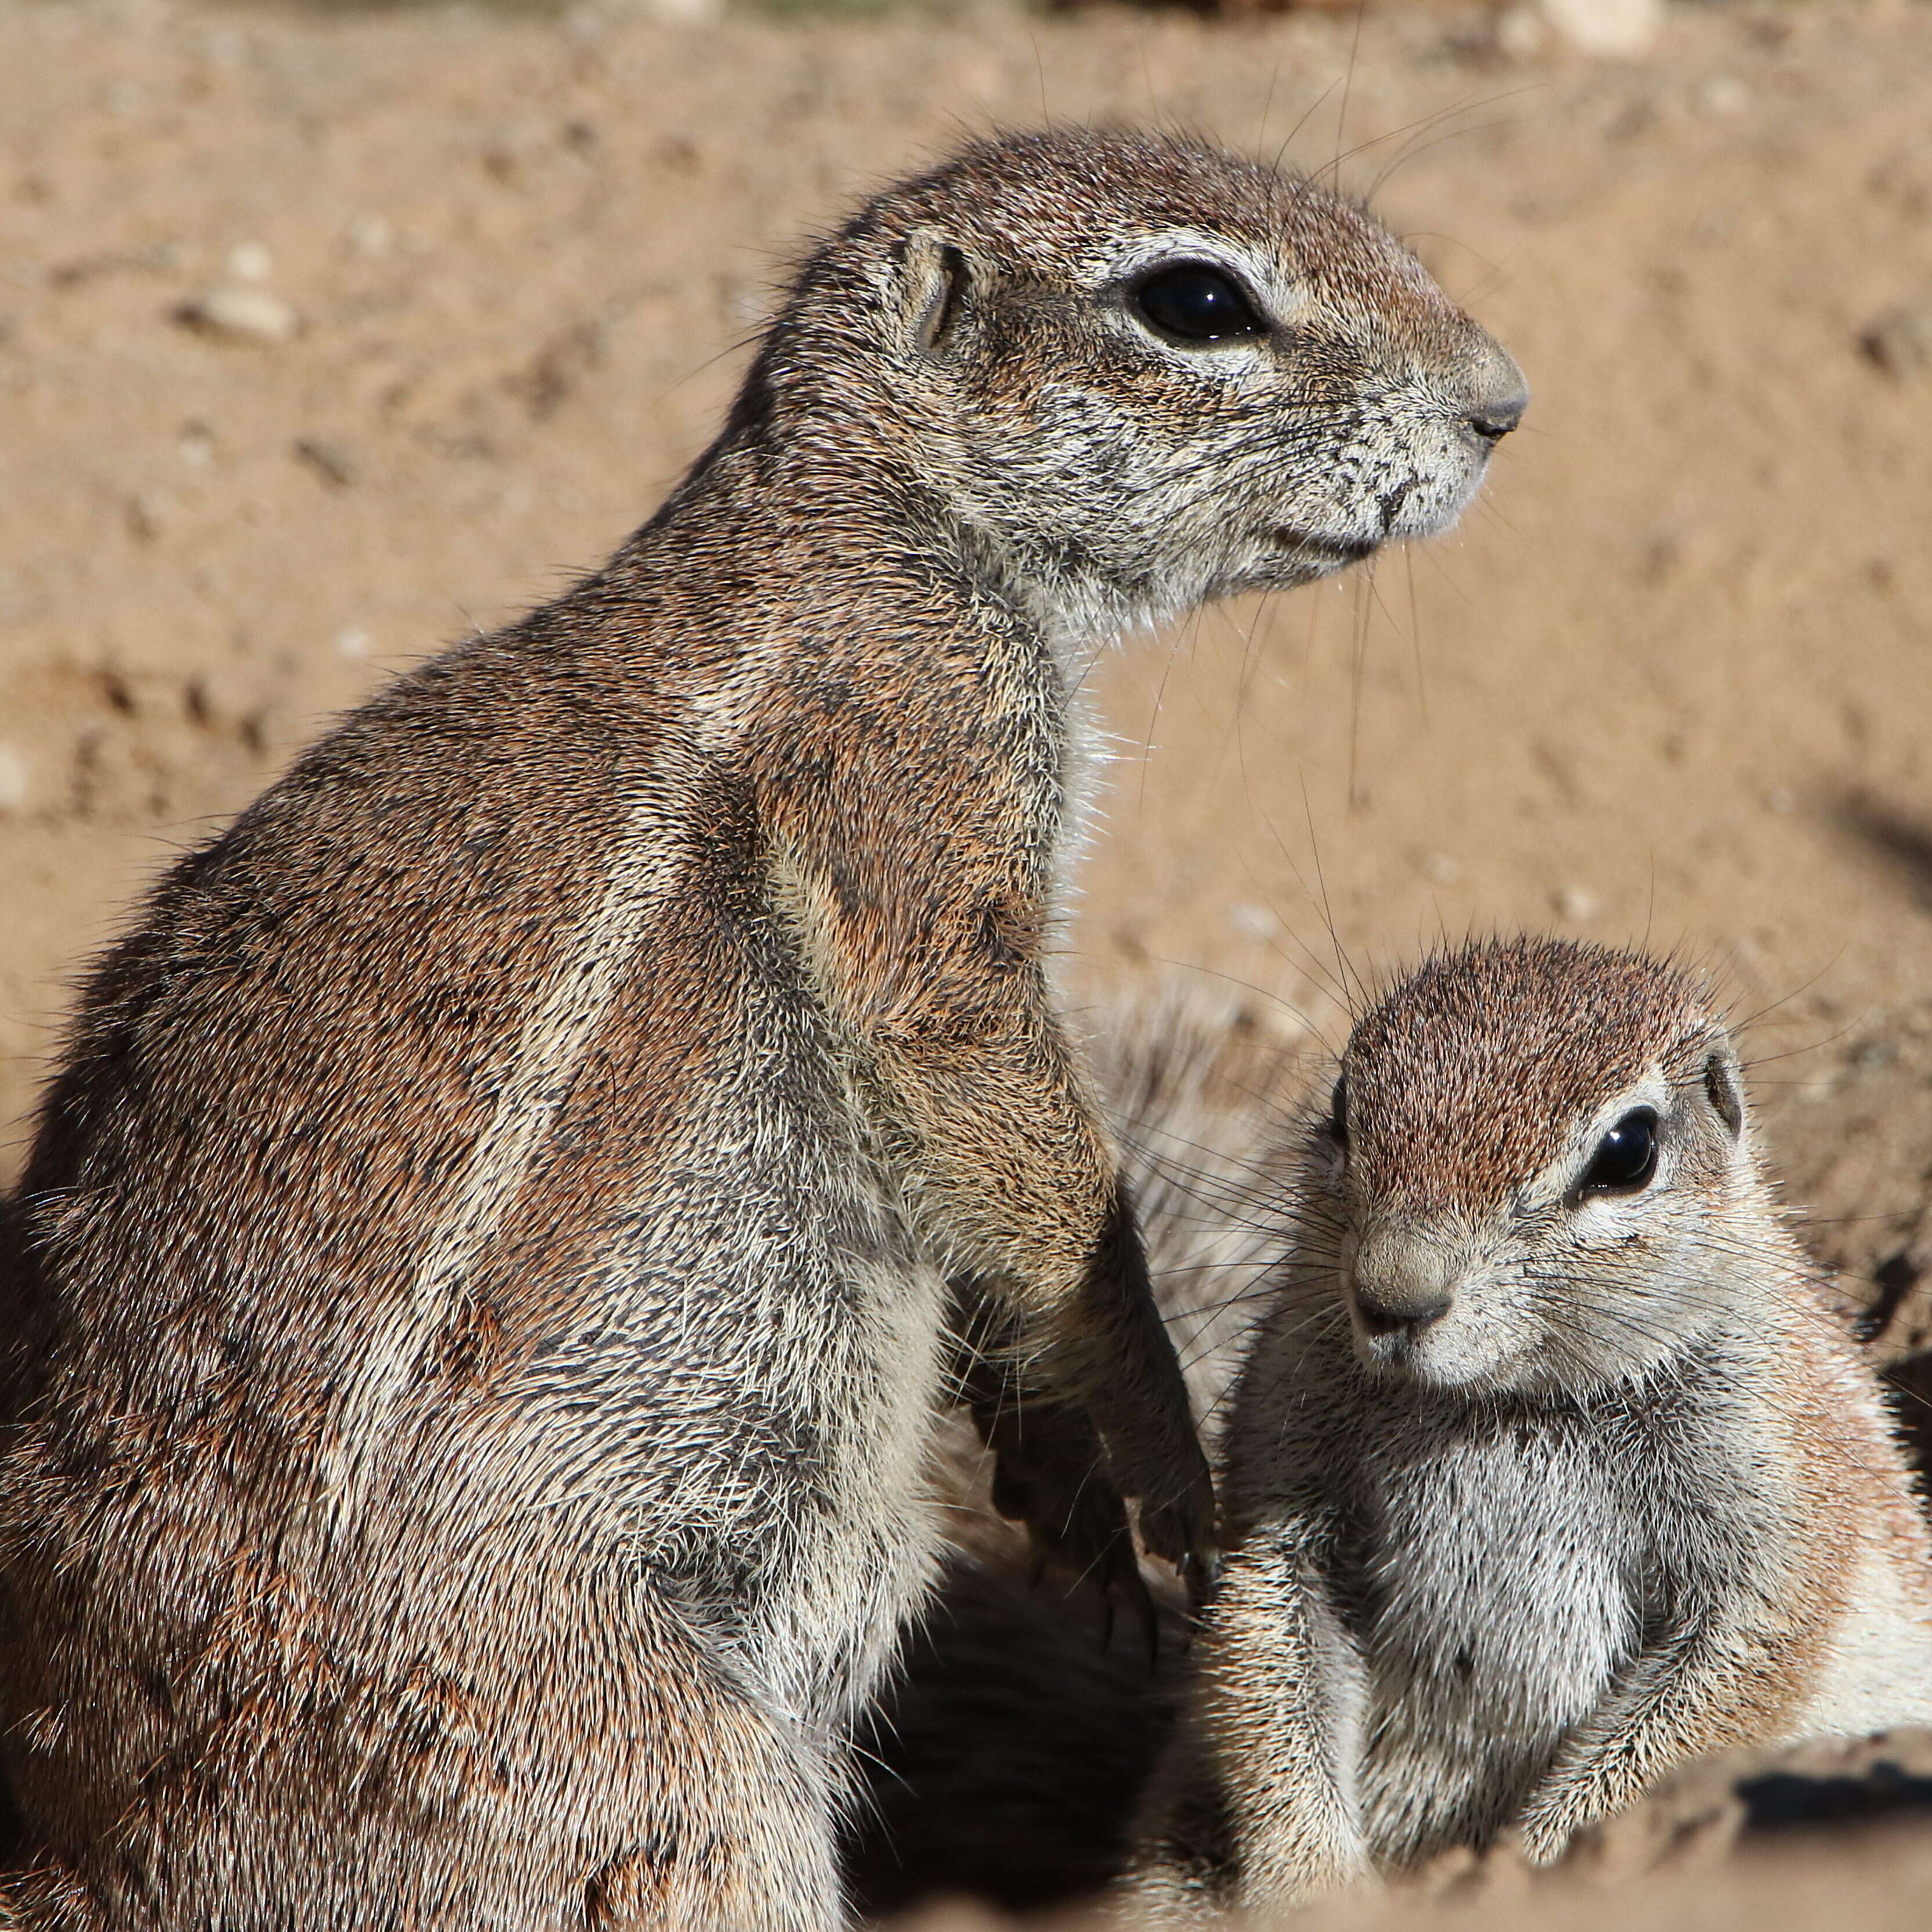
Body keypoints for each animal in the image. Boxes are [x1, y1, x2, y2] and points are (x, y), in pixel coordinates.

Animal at [0, 128, 1522, 1924]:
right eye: (1197, 302)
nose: (1501, 403)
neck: (861, 521)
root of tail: (94, 1852)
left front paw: (1057, 1476)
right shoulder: (920, 774)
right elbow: (1021, 1139)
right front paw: (1162, 1456)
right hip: (667, 1775)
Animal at [1136, 935, 1932, 1916]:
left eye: (1628, 1151)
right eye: (1342, 1104)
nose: (1392, 1294)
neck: (1502, 1406)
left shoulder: (1777, 1509)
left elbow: (1702, 1713)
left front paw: (1530, 1871)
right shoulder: (1284, 1478)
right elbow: (1269, 1663)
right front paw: (1316, 1888)